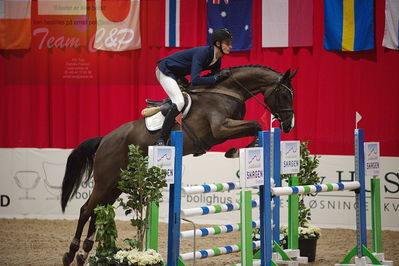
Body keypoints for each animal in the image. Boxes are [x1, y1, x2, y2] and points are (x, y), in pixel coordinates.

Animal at [59, 65, 296, 266]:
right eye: (284, 94)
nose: (288, 126)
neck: (227, 92)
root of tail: (104, 139)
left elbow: (255, 128)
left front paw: (240, 150)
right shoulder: (220, 128)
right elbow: (255, 124)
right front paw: (236, 151)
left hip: (117, 183)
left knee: (98, 210)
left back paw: (83, 254)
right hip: (106, 180)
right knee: (86, 209)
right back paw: (71, 253)